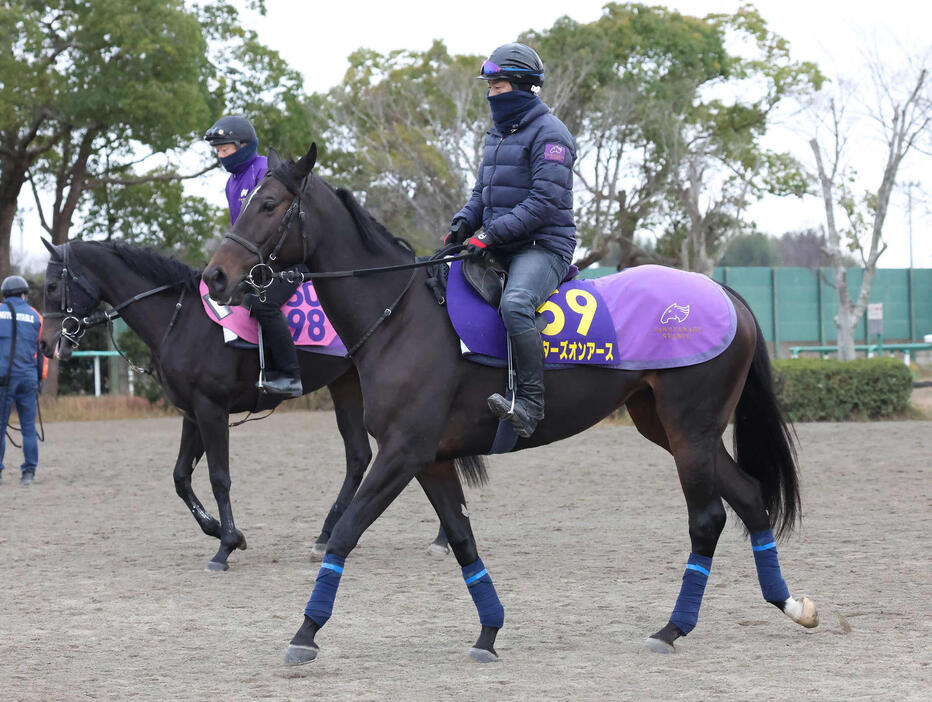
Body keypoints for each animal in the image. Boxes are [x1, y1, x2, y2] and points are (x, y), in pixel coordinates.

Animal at [37, 242, 382, 572]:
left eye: (52, 286)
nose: (45, 343)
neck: (181, 319)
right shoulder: (193, 414)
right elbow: (180, 477)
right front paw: (223, 531)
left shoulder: (211, 409)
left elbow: (219, 478)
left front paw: (225, 546)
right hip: (344, 384)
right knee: (357, 456)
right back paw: (325, 535)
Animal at [204, 146, 816, 664]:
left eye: (268, 204)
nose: (215, 276)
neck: (402, 317)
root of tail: (727, 294)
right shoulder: (430, 460)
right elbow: (461, 540)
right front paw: (489, 631)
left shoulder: (402, 453)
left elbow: (348, 531)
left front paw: (305, 631)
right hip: (671, 428)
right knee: (750, 497)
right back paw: (789, 604)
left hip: (690, 430)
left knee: (709, 518)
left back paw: (672, 628)